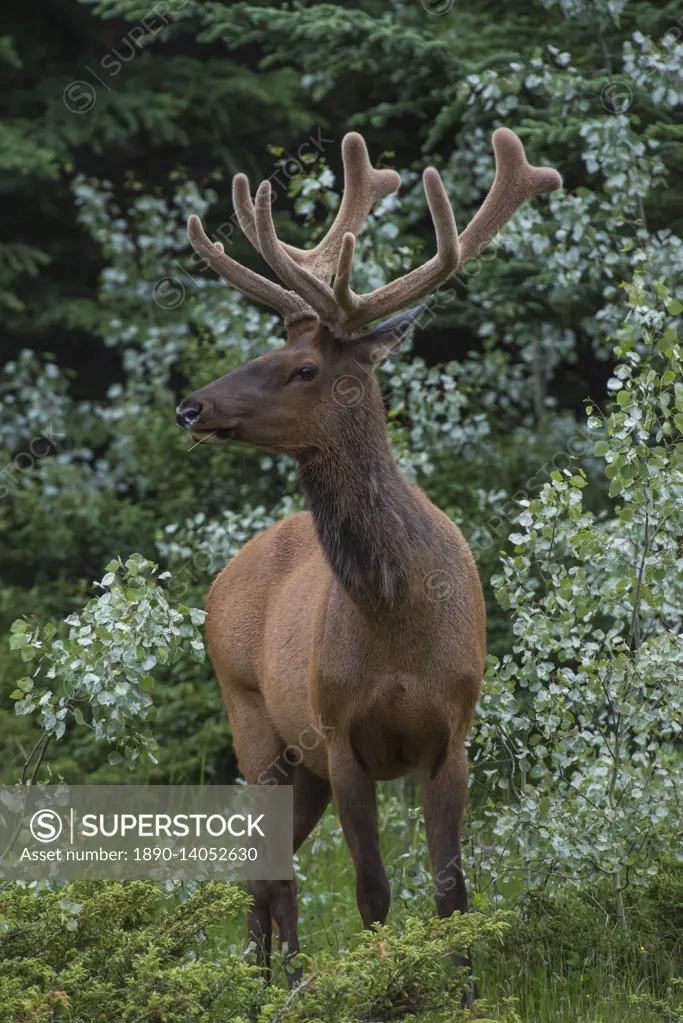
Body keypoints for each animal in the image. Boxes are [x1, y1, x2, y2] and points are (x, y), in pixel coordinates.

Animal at [175, 129, 560, 982]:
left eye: (303, 367)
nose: (190, 405)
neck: (397, 611)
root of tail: (222, 580)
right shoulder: (341, 731)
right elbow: (371, 889)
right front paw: (381, 987)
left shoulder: (452, 732)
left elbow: (451, 888)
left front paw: (461, 988)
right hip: (252, 716)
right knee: (272, 871)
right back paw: (279, 982)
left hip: (300, 761)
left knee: (264, 868)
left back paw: (265, 978)